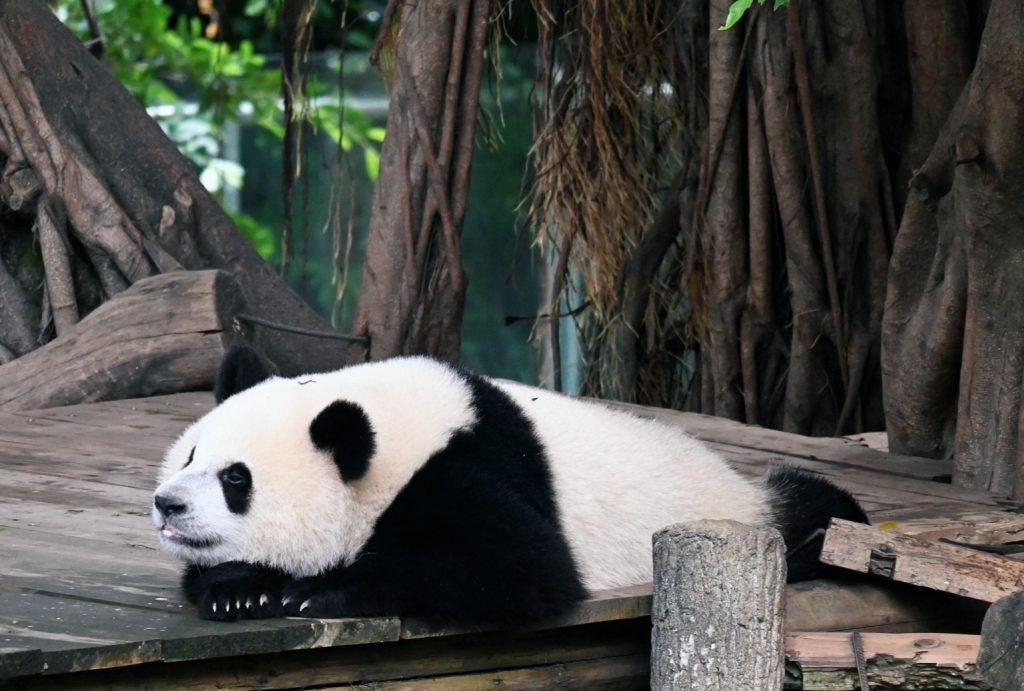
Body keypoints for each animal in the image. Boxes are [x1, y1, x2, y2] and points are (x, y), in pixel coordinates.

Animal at [152, 346, 867, 626]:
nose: (168, 504)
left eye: (236, 479)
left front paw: (320, 591)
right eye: (190, 454)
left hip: (756, 512)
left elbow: (520, 570)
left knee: (817, 512)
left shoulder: (463, 471)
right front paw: (239, 590)